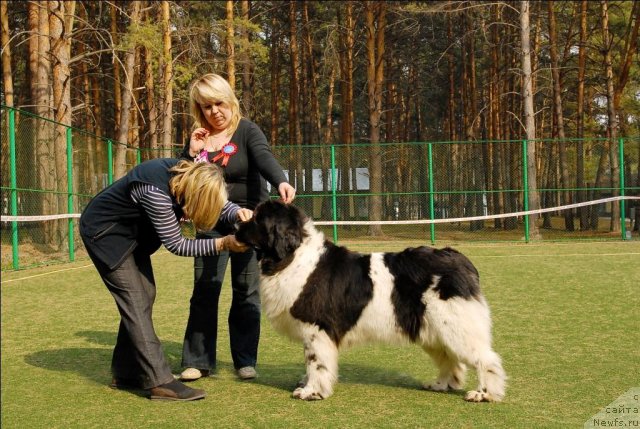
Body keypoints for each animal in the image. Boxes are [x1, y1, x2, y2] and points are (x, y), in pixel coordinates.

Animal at [235, 201, 504, 402]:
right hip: (433, 329)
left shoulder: (316, 328)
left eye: (257, 219)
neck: (293, 255)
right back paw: (440, 384)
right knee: (451, 360)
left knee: (486, 359)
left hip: (456, 325)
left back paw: (484, 394)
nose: (237, 221)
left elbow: (315, 362)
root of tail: (458, 258)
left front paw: (311, 392)